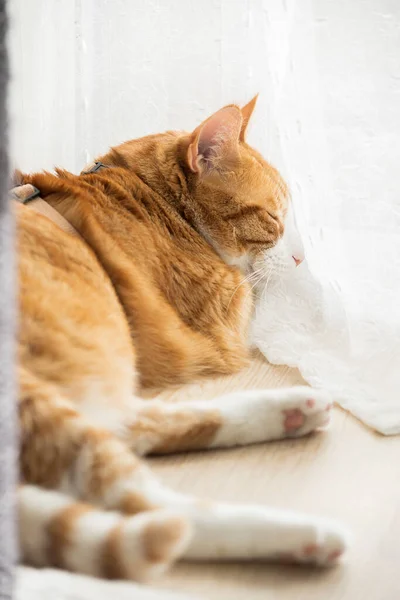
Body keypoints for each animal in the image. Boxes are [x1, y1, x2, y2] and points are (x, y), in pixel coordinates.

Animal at [16, 97, 346, 580]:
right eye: (273, 218)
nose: (303, 258)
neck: (156, 200)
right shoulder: (226, 315)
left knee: (135, 424)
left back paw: (290, 411)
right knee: (158, 509)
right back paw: (307, 534)